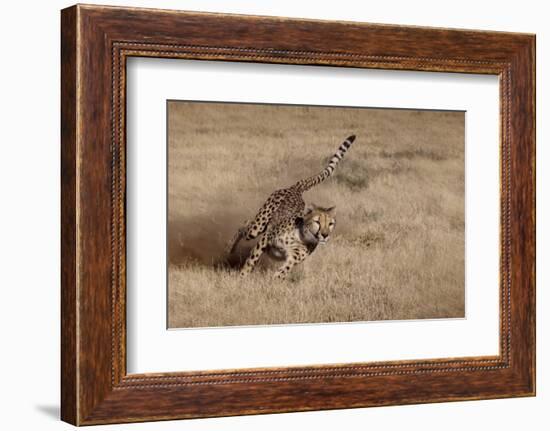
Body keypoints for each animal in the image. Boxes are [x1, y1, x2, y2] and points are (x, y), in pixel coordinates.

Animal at [227, 137, 358, 282]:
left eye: (330, 224)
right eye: (317, 222)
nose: (325, 235)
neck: (301, 237)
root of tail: (296, 188)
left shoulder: (293, 258)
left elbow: (284, 270)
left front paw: (274, 280)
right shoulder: (265, 239)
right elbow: (251, 260)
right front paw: (242, 276)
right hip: (258, 227)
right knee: (243, 227)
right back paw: (229, 249)